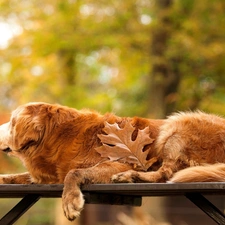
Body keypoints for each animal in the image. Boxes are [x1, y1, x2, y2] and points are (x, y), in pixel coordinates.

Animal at [0, 103, 224, 221]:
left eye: (10, 122)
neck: (58, 136)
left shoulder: (118, 162)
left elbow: (74, 173)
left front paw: (71, 201)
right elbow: (17, 176)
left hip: (176, 125)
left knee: (165, 173)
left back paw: (130, 177)